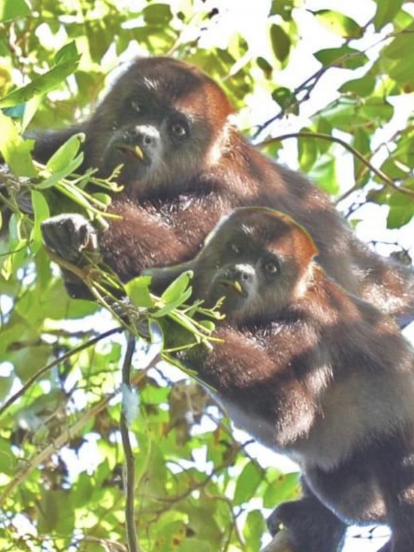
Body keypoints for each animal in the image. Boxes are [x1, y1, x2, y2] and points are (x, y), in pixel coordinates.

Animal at [34, 55, 414, 326]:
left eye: (177, 129)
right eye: (139, 106)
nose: (142, 134)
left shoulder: (226, 189)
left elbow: (176, 262)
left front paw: (77, 227)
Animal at [150, 207, 414, 552]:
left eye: (270, 267)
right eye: (238, 249)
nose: (241, 272)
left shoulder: (306, 328)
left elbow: (291, 408)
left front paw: (179, 322)